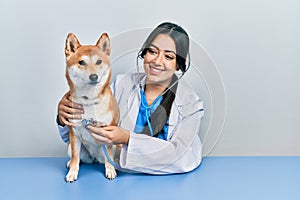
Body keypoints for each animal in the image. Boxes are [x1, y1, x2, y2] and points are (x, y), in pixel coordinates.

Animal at [63, 32, 119, 183]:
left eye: (98, 62)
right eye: (81, 62)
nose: (94, 76)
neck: (89, 100)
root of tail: (95, 158)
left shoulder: (108, 132)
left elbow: (109, 156)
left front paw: (110, 171)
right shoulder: (74, 133)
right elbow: (75, 157)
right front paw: (72, 173)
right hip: (71, 147)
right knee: (76, 158)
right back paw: (70, 163)